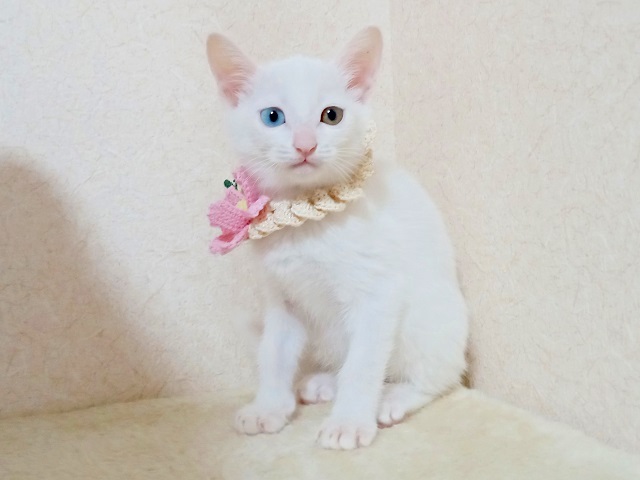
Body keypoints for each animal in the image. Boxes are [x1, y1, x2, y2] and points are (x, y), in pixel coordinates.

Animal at [206, 26, 468, 450]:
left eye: (332, 115)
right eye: (272, 117)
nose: (305, 144)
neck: (306, 220)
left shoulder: (378, 294)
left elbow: (363, 365)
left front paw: (349, 422)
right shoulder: (282, 298)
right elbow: (273, 353)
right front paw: (269, 407)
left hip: (428, 318)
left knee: (440, 377)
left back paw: (392, 397)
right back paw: (325, 383)